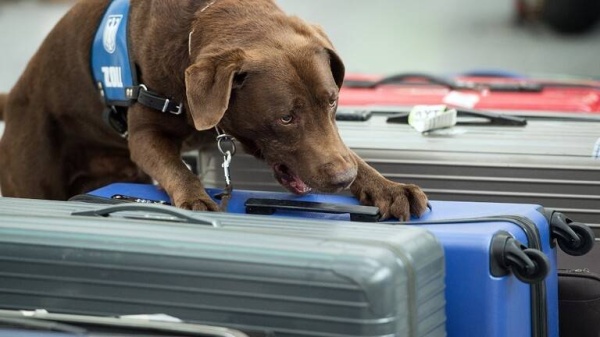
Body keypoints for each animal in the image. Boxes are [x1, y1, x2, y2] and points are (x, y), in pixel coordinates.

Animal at [1, 0, 432, 219]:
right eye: (286, 118)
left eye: (333, 102)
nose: (343, 180)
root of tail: (16, 95)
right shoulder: (145, 135)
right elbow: (177, 168)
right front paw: (195, 200)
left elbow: (354, 156)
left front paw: (386, 187)